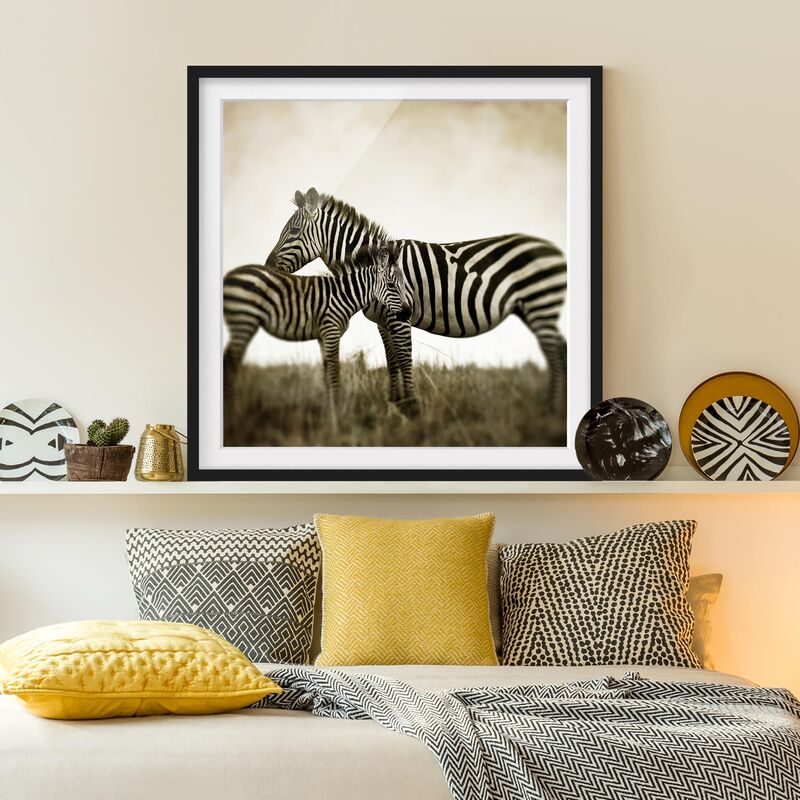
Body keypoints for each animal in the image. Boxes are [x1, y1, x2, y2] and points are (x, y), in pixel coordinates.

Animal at [223, 243, 409, 420]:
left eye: (403, 285)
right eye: (391, 285)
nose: (408, 312)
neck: (343, 295)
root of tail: (232, 274)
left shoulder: (322, 336)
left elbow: (326, 374)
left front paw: (328, 413)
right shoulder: (330, 330)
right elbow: (334, 372)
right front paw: (336, 416)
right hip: (244, 319)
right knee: (231, 363)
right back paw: (232, 414)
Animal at [265, 188, 567, 415]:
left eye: (293, 232)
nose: (267, 267)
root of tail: (551, 249)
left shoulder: (399, 315)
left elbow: (405, 357)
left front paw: (411, 407)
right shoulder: (383, 320)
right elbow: (392, 360)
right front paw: (394, 403)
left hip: (539, 302)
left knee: (552, 350)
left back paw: (550, 408)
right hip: (531, 307)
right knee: (560, 347)